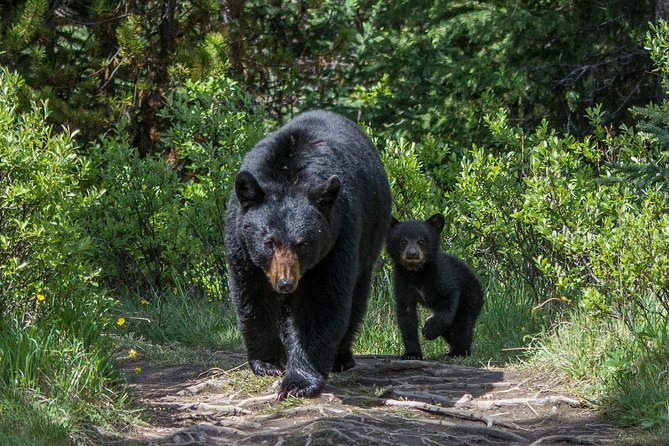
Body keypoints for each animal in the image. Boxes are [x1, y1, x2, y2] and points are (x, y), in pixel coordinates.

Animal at [224, 110, 392, 398]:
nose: (285, 283)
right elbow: (253, 295)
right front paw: (267, 362)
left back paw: (340, 357)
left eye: (302, 244)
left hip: (370, 238)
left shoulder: (338, 235)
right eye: (269, 242)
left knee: (355, 299)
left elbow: (321, 301)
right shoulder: (241, 242)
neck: (288, 175)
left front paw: (298, 382)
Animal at [386, 213, 486, 358]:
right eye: (403, 241)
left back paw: (459, 351)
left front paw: (429, 330)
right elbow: (407, 317)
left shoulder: (441, 277)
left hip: (471, 295)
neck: (417, 272)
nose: (412, 254)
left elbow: (448, 302)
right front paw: (412, 353)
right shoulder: (402, 283)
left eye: (421, 241)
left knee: (463, 324)